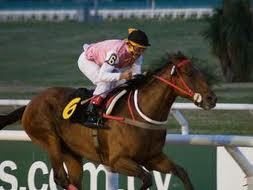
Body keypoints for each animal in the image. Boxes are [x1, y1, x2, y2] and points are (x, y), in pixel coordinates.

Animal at [0, 52, 217, 190]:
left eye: (200, 72)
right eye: (189, 73)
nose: (211, 99)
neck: (141, 113)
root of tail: (30, 103)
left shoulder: (153, 157)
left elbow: (181, 172)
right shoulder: (117, 161)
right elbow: (147, 179)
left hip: (71, 153)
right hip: (49, 139)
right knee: (60, 177)